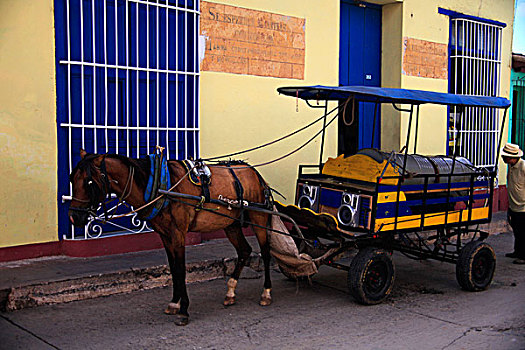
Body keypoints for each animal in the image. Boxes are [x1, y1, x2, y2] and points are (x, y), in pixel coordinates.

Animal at [68, 150, 272, 326]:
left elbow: (181, 270)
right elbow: (173, 269)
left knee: (266, 252)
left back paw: (266, 293)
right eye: (71, 178)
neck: (160, 186)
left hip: (258, 217)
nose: (74, 217)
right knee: (244, 250)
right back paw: (230, 292)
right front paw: (174, 303)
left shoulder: (178, 234)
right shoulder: (165, 235)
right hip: (231, 224)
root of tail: (254, 172)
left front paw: (184, 311)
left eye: (89, 182)